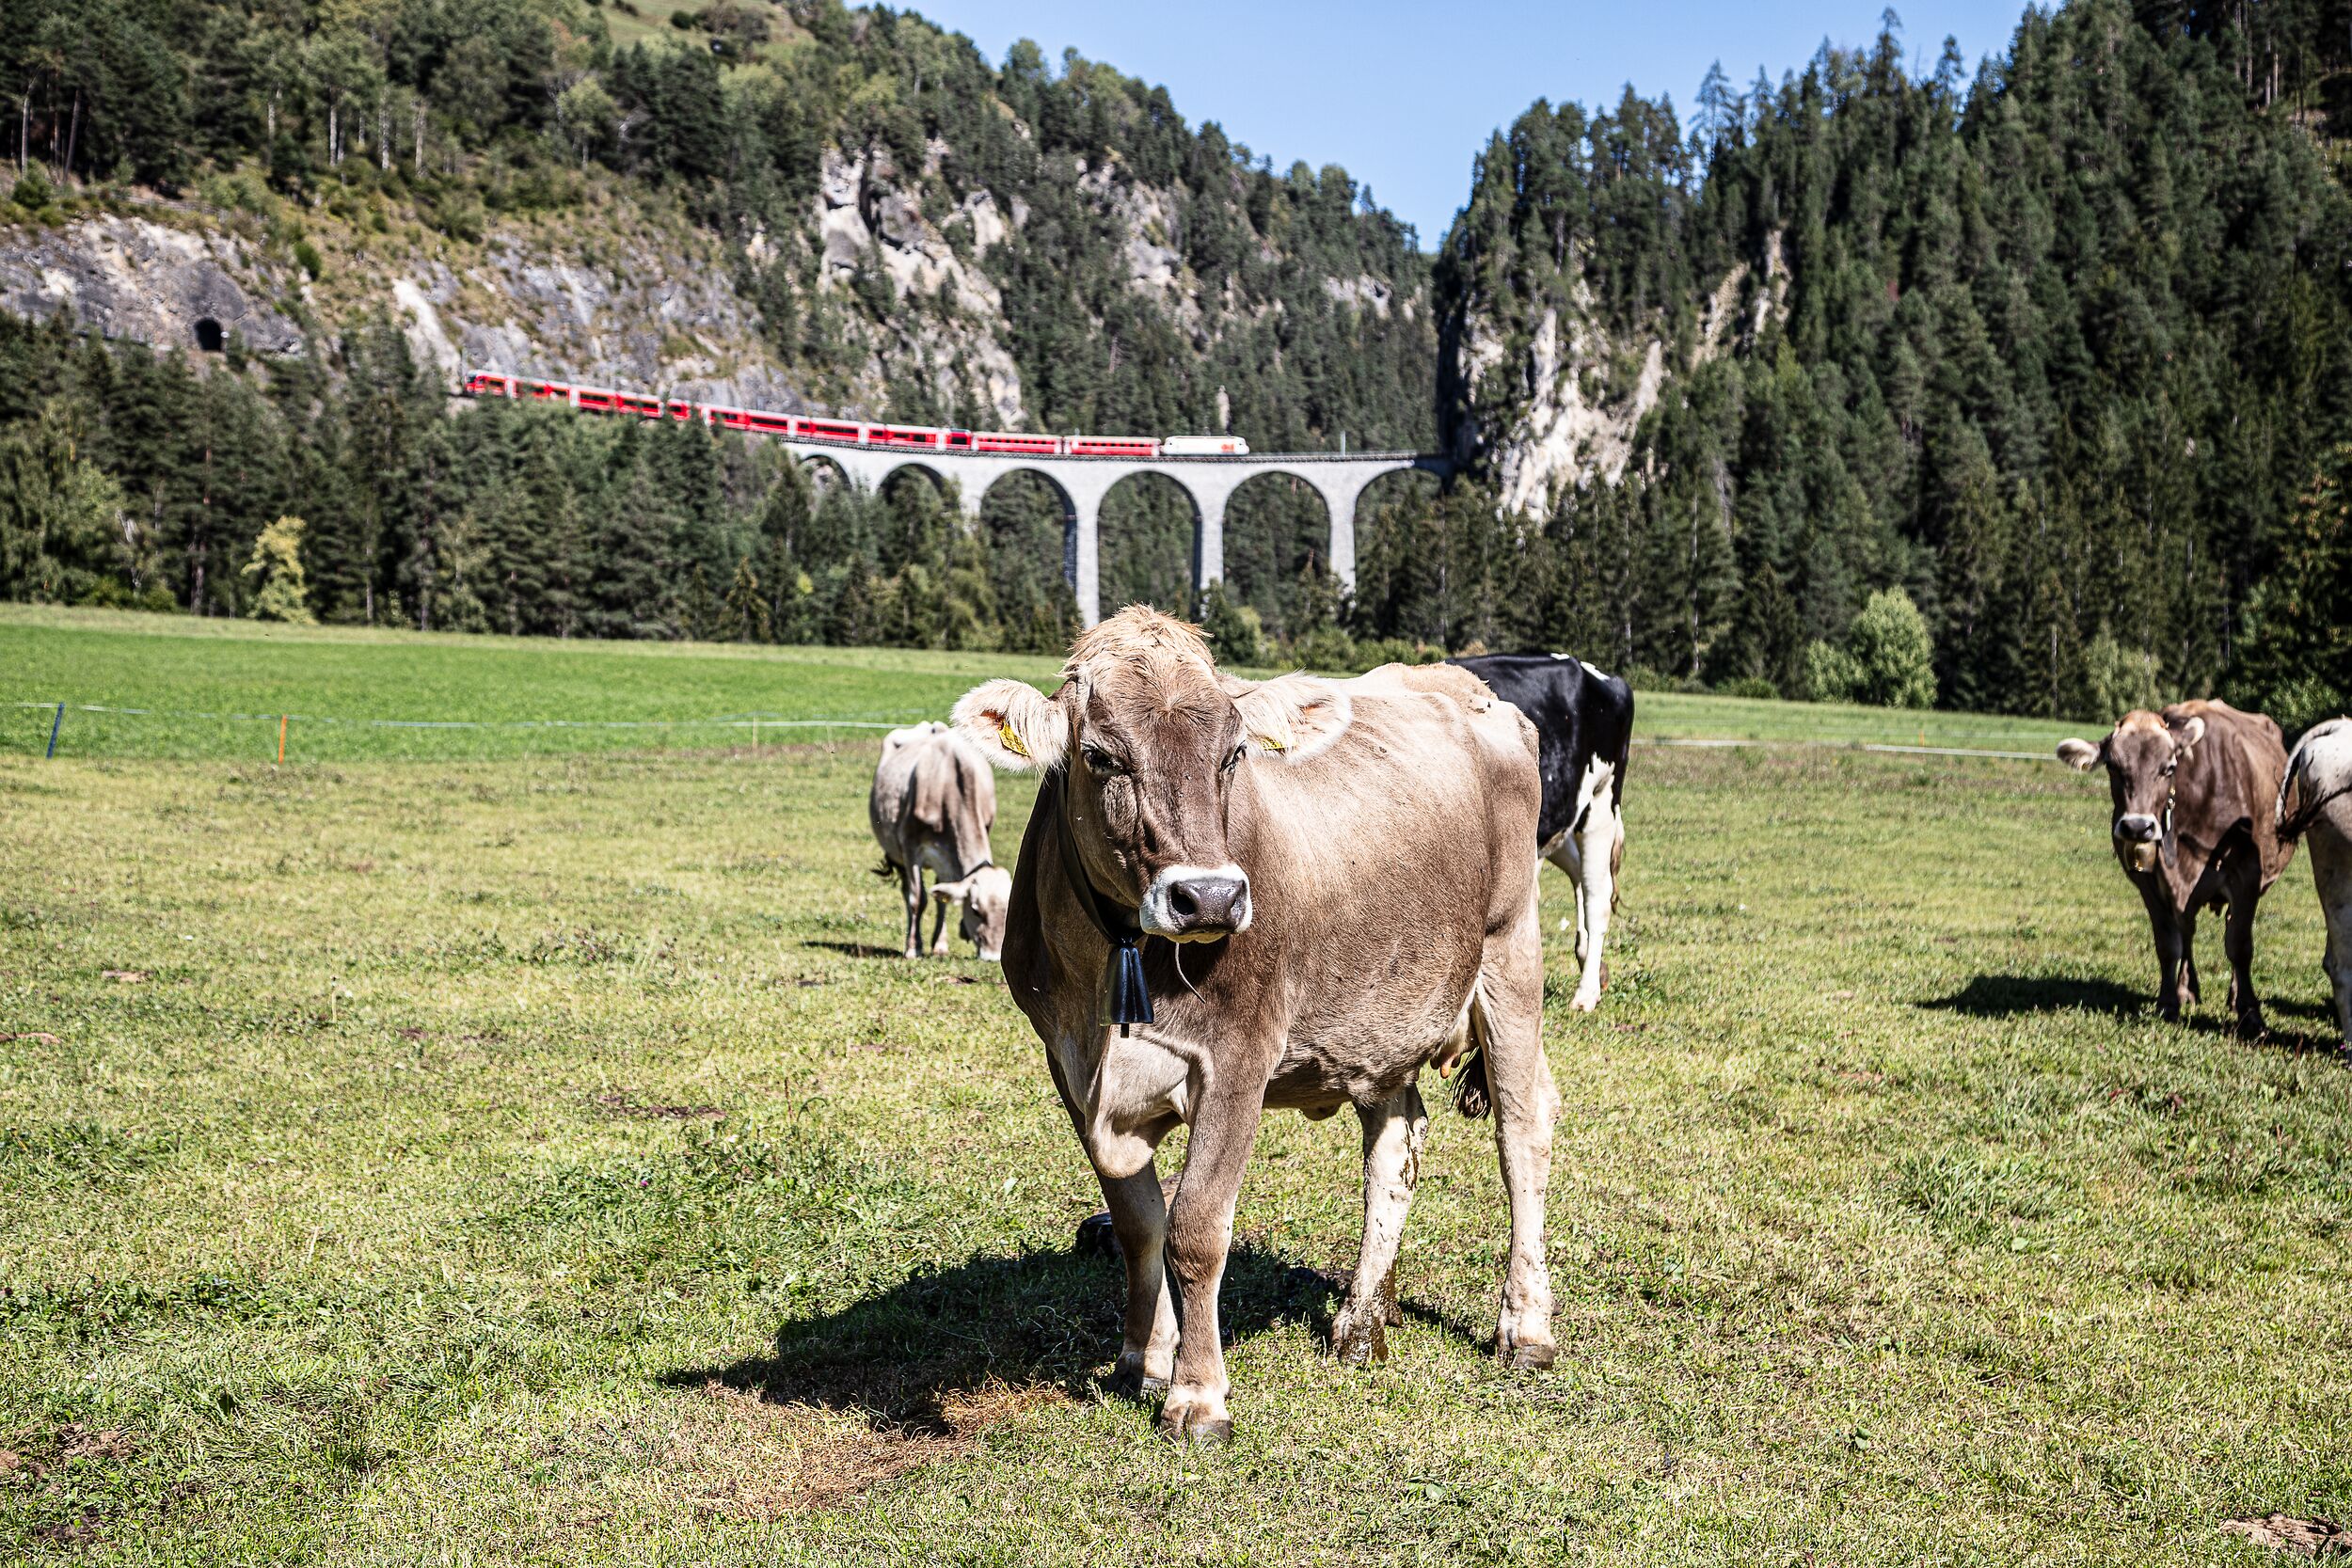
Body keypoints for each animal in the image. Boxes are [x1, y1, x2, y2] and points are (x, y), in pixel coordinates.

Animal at [868, 722, 1012, 961]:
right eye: (975, 910)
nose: (993, 956)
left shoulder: (948, 856)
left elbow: (940, 899)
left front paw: (940, 944)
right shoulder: (910, 848)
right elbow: (918, 899)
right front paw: (913, 948)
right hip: (898, 854)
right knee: (907, 892)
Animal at [953, 608, 1554, 1446]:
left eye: (1234, 752)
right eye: (1102, 756)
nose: (1207, 897)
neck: (1116, 965)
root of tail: (1459, 682)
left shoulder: (1237, 1056)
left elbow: (1197, 1226)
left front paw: (1198, 1395)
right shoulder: (1067, 1063)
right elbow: (1138, 1222)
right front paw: (1145, 1357)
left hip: (1509, 952)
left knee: (1523, 1130)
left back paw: (1525, 1327)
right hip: (1379, 1017)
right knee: (1396, 1143)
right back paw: (1362, 1319)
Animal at [2056, 701, 2295, 1037]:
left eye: (2168, 768)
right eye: (2113, 767)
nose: (2137, 827)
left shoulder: (2247, 873)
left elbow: (2239, 944)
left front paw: (2250, 1014)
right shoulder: (2146, 879)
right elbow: (2169, 943)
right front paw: (2169, 1002)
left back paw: (2232, 995)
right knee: (2187, 930)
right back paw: (2187, 989)